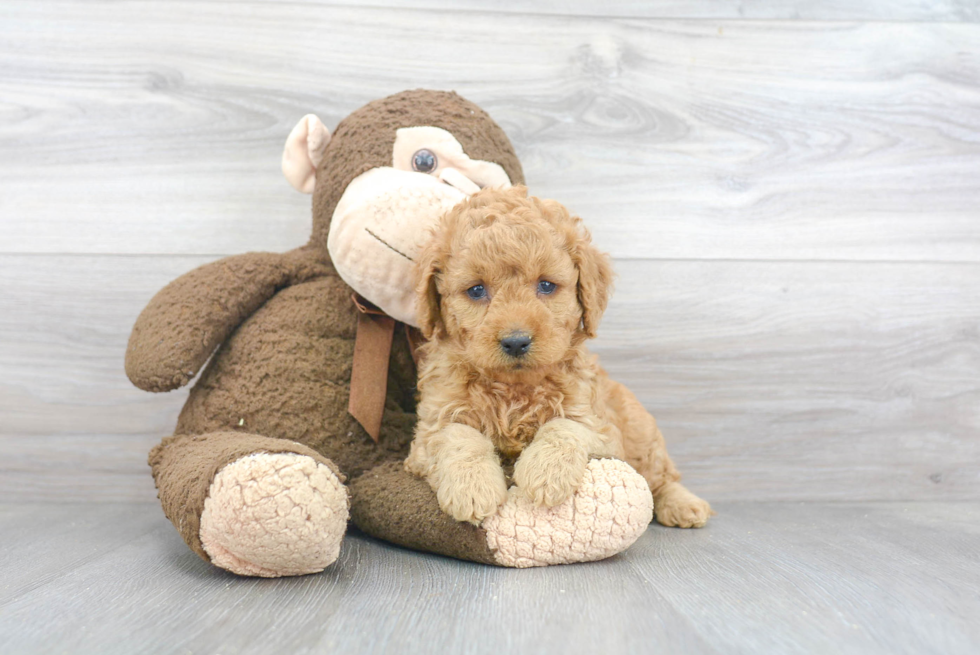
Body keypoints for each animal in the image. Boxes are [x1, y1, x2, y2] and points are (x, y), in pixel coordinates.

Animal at [406, 183, 712, 528]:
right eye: (476, 290)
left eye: (546, 285)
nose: (516, 342)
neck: (513, 389)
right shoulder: (430, 427)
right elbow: (458, 436)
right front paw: (472, 487)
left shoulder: (599, 428)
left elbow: (565, 426)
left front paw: (546, 474)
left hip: (642, 434)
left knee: (660, 477)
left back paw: (683, 504)